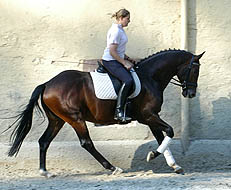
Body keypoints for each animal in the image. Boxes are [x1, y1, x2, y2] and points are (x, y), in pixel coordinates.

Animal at [5, 49, 204, 178]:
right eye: (195, 70)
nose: (190, 93)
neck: (150, 77)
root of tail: (47, 83)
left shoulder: (150, 117)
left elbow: (162, 138)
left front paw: (175, 165)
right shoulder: (148, 115)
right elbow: (169, 131)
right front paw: (153, 155)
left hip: (57, 120)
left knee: (44, 141)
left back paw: (44, 172)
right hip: (75, 119)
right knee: (86, 143)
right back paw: (113, 168)